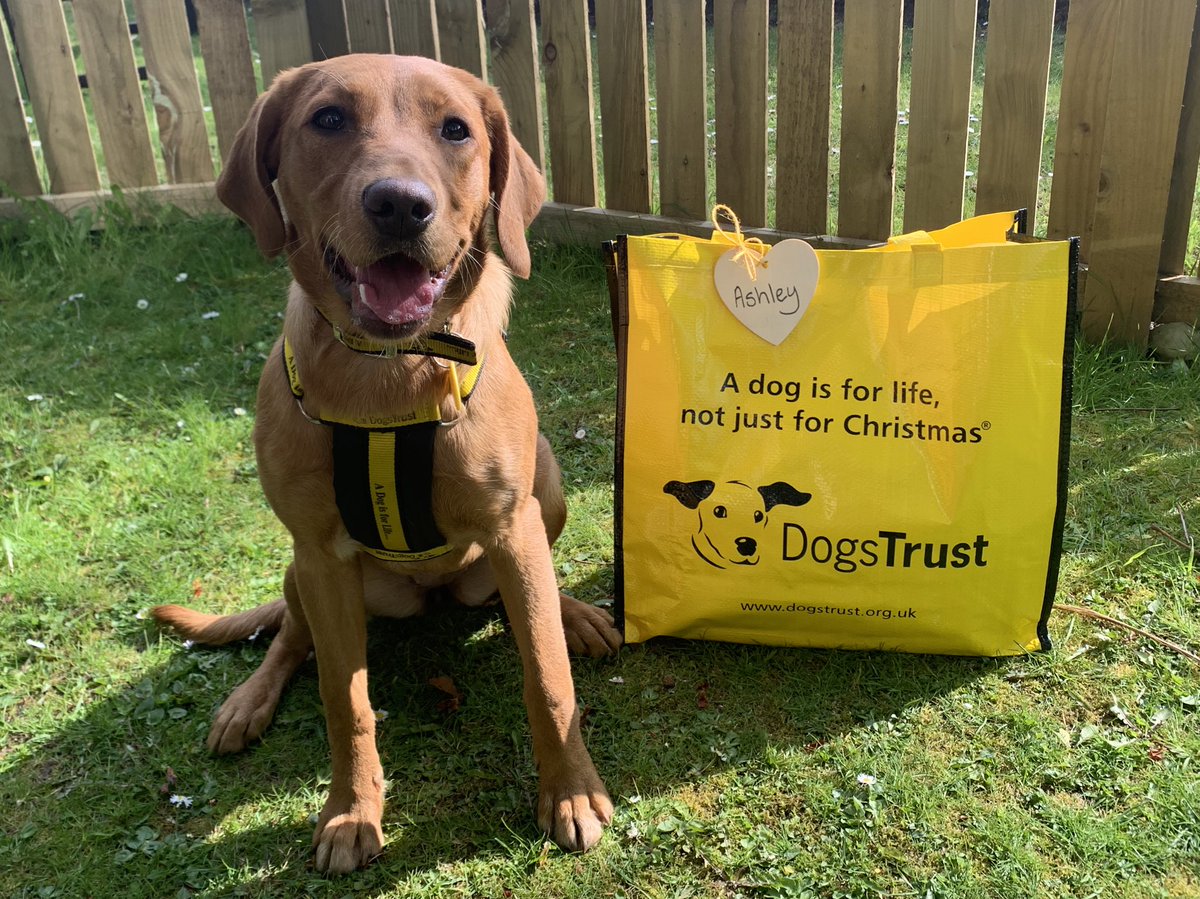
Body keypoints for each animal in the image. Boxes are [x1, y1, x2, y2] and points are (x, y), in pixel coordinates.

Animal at [148, 54, 619, 868]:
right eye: (329, 119)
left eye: (456, 129)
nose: (400, 205)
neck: (386, 376)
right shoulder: (320, 554)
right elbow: (346, 699)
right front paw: (350, 811)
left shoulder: (512, 527)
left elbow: (546, 675)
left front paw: (570, 792)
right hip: (305, 572)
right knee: (290, 634)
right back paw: (248, 701)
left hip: (546, 490)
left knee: (537, 597)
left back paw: (577, 614)